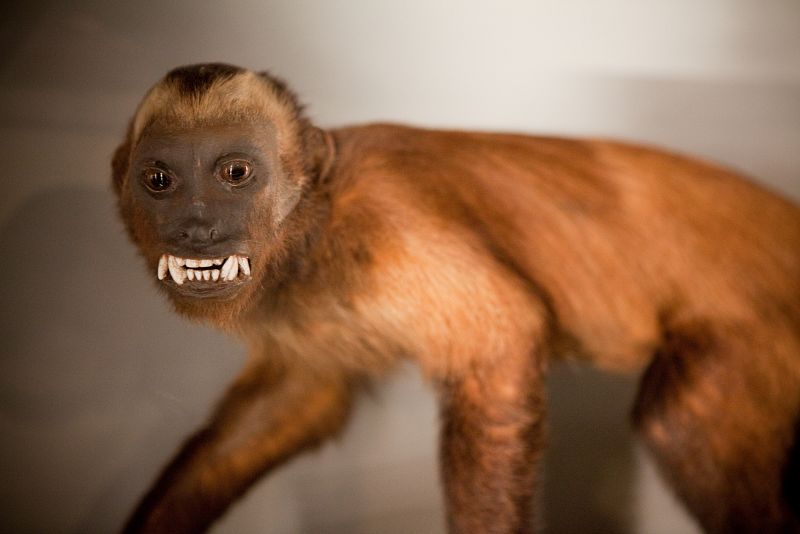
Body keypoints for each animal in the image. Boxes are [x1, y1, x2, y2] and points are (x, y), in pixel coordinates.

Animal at [112, 63, 800, 534]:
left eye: (235, 173)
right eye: (160, 180)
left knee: (679, 417)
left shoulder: (391, 227)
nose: (197, 227)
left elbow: (501, 339)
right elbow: (297, 399)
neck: (316, 225)